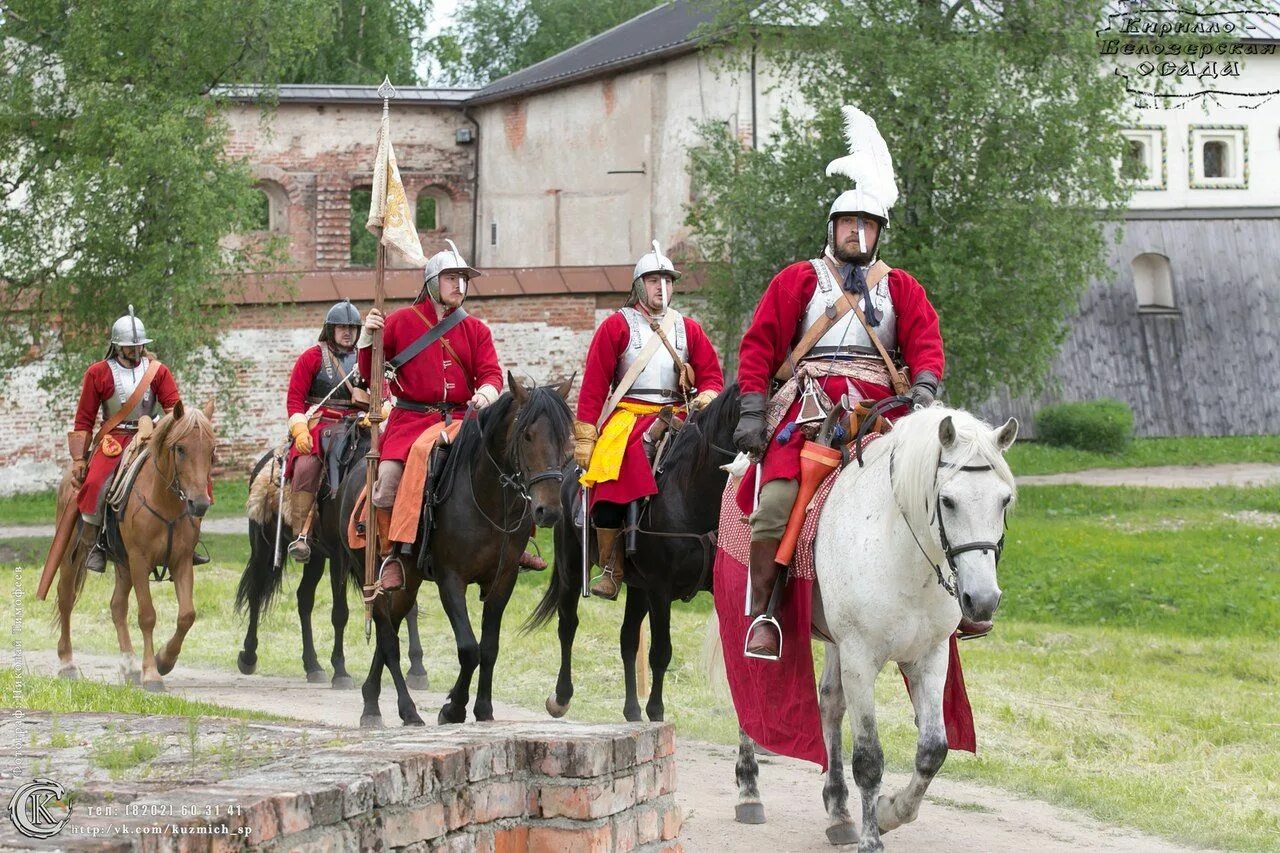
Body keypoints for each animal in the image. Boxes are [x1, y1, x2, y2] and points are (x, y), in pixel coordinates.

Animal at [54, 399, 215, 691]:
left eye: (212, 450)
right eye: (181, 449)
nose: (199, 504)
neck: (164, 500)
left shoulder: (182, 561)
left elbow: (187, 615)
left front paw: (165, 660)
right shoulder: (140, 560)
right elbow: (147, 615)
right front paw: (151, 673)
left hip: (122, 563)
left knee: (117, 606)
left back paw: (129, 665)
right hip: (74, 555)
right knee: (66, 599)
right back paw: (67, 663)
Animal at [345, 373, 576, 722]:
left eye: (564, 438)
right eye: (528, 436)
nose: (548, 511)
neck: (488, 498)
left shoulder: (502, 580)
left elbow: (489, 648)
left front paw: (482, 708)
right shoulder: (450, 579)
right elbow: (469, 648)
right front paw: (454, 707)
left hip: (407, 582)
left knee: (393, 629)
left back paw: (371, 699)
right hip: (370, 574)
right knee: (387, 637)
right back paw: (406, 710)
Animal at [522, 381, 742, 722]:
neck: (693, 493)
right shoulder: (661, 590)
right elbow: (661, 651)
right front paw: (657, 712)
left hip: (638, 587)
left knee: (627, 638)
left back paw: (632, 711)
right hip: (573, 568)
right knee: (568, 625)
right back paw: (562, 697)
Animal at [727, 402, 1013, 845]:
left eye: (1004, 500)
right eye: (947, 501)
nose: (981, 600)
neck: (902, 552)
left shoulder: (929, 656)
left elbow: (933, 750)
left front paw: (889, 811)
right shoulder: (860, 658)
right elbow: (868, 759)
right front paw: (872, 838)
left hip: (834, 641)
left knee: (829, 703)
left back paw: (839, 812)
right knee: (747, 694)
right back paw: (749, 791)